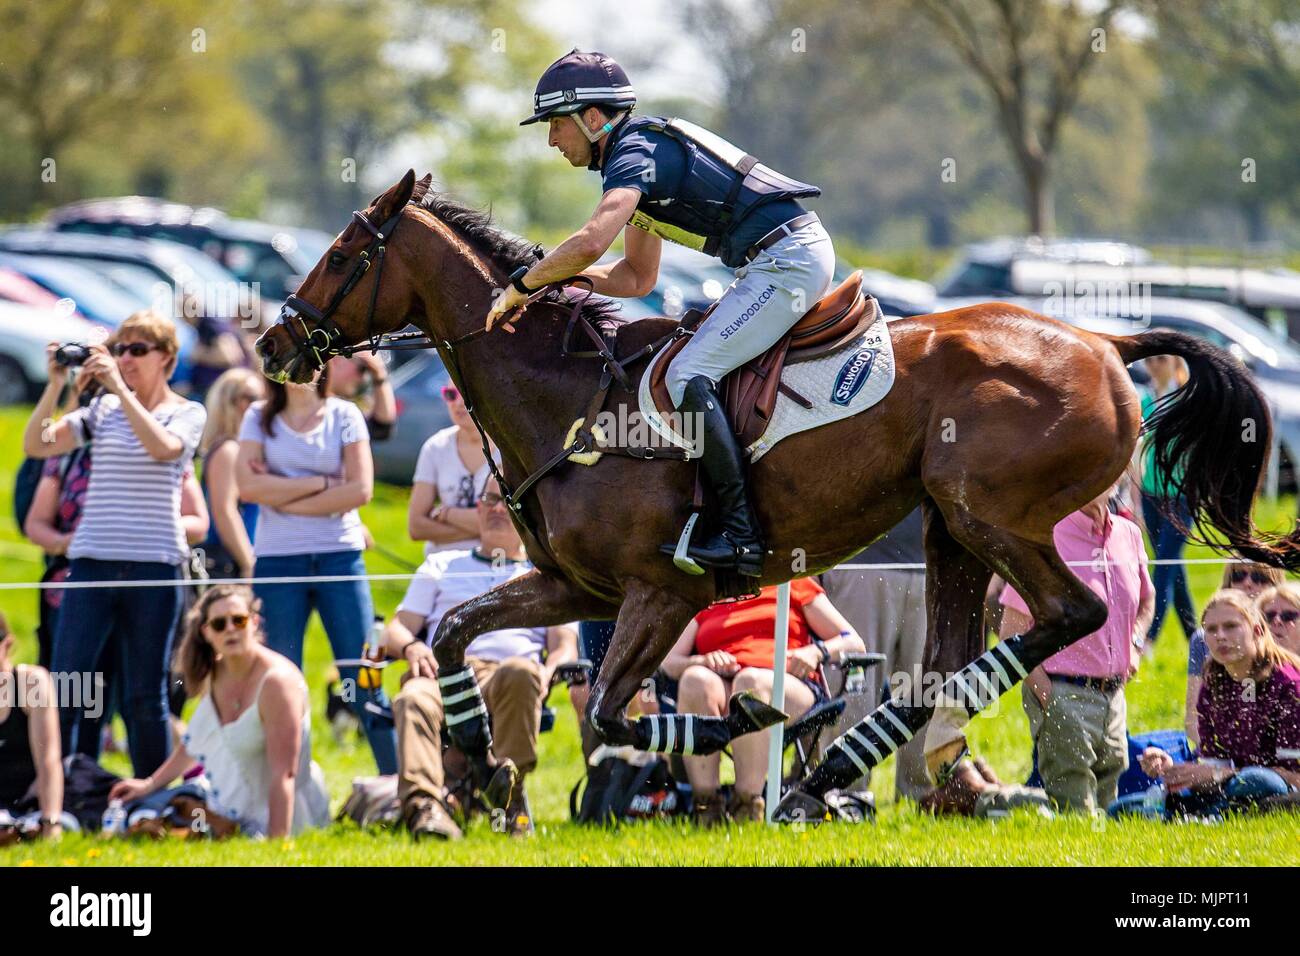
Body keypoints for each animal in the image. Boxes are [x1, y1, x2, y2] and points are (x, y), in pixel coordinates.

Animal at [253, 171, 1300, 822]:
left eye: (343, 253)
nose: (272, 343)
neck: (568, 398)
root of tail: (1105, 342)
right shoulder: (575, 589)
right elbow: (453, 633)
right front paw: (485, 754)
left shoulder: (659, 591)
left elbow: (614, 713)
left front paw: (742, 721)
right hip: (950, 529)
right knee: (945, 663)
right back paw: (840, 763)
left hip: (990, 515)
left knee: (1068, 614)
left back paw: (828, 760)